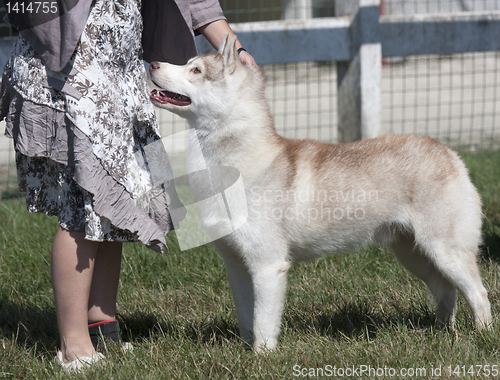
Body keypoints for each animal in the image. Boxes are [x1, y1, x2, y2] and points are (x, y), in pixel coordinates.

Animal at [148, 34, 492, 352]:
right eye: (187, 63)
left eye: (195, 70)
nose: (151, 63)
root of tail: (447, 151)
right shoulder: (237, 266)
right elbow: (247, 319)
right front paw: (246, 353)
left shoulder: (268, 266)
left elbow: (263, 322)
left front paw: (262, 358)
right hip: (414, 254)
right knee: (446, 291)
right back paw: (444, 333)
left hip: (445, 251)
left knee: (478, 293)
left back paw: (483, 336)